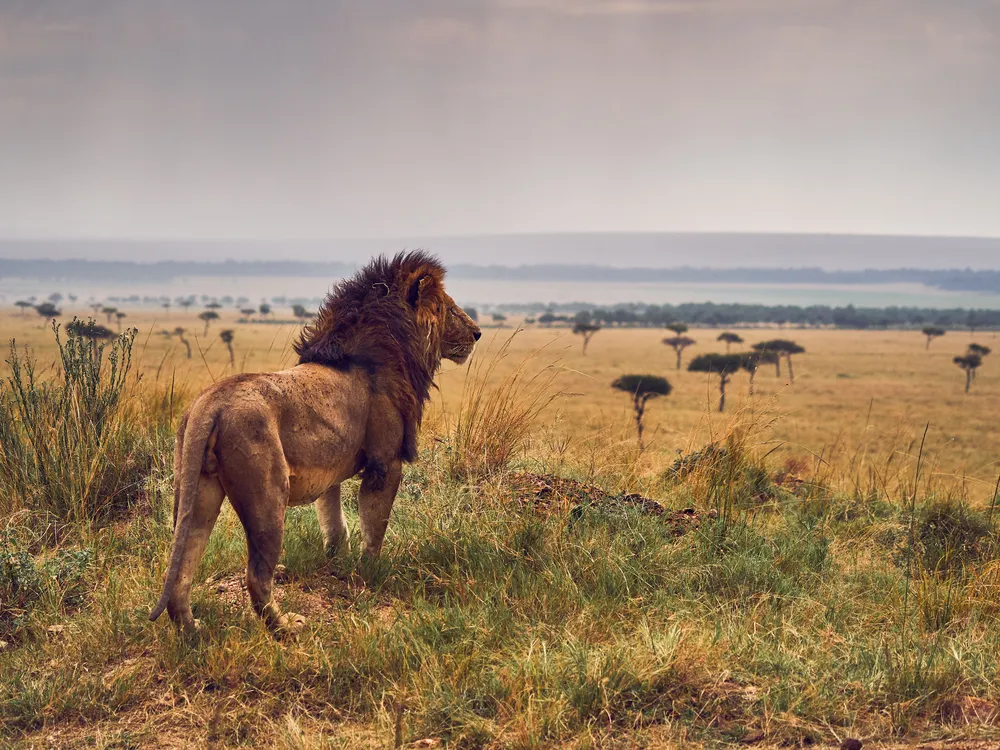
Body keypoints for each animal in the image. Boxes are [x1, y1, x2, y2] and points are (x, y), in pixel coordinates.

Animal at [149, 251, 480, 635]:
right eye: (446, 308)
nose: (477, 332)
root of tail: (210, 403)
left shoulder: (330, 472)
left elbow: (335, 523)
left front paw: (337, 564)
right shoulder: (386, 463)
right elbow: (374, 526)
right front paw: (370, 573)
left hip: (197, 492)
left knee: (183, 567)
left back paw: (192, 630)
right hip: (267, 498)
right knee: (256, 576)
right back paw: (286, 627)